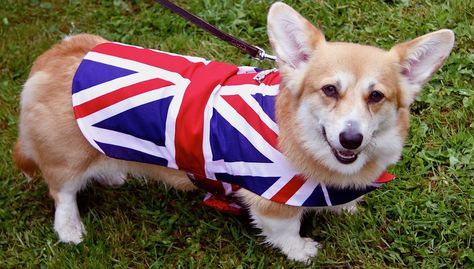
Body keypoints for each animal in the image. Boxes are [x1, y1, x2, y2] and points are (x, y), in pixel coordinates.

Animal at [12, 2, 454, 262]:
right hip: (66, 158)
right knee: (63, 192)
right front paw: (303, 250)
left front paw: (343, 206)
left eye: (376, 96)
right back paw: (70, 228)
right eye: (329, 90)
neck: (300, 138)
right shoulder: (270, 202)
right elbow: (286, 231)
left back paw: (112, 172)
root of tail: (58, 53)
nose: (351, 139)